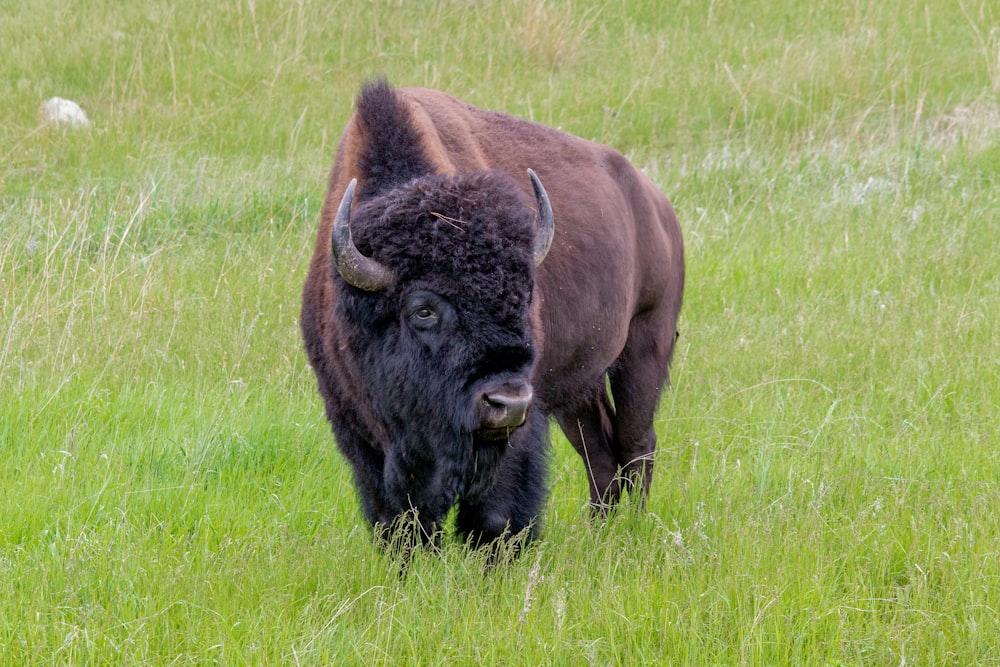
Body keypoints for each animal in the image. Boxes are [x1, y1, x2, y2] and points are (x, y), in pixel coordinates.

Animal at [300, 81, 684, 552]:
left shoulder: (516, 435)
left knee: (636, 442)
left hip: (645, 345)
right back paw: (599, 531)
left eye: (523, 297)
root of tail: (657, 204)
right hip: (579, 388)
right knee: (601, 452)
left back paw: (631, 529)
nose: (507, 402)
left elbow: (496, 516)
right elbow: (399, 522)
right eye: (423, 310)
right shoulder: (358, 430)